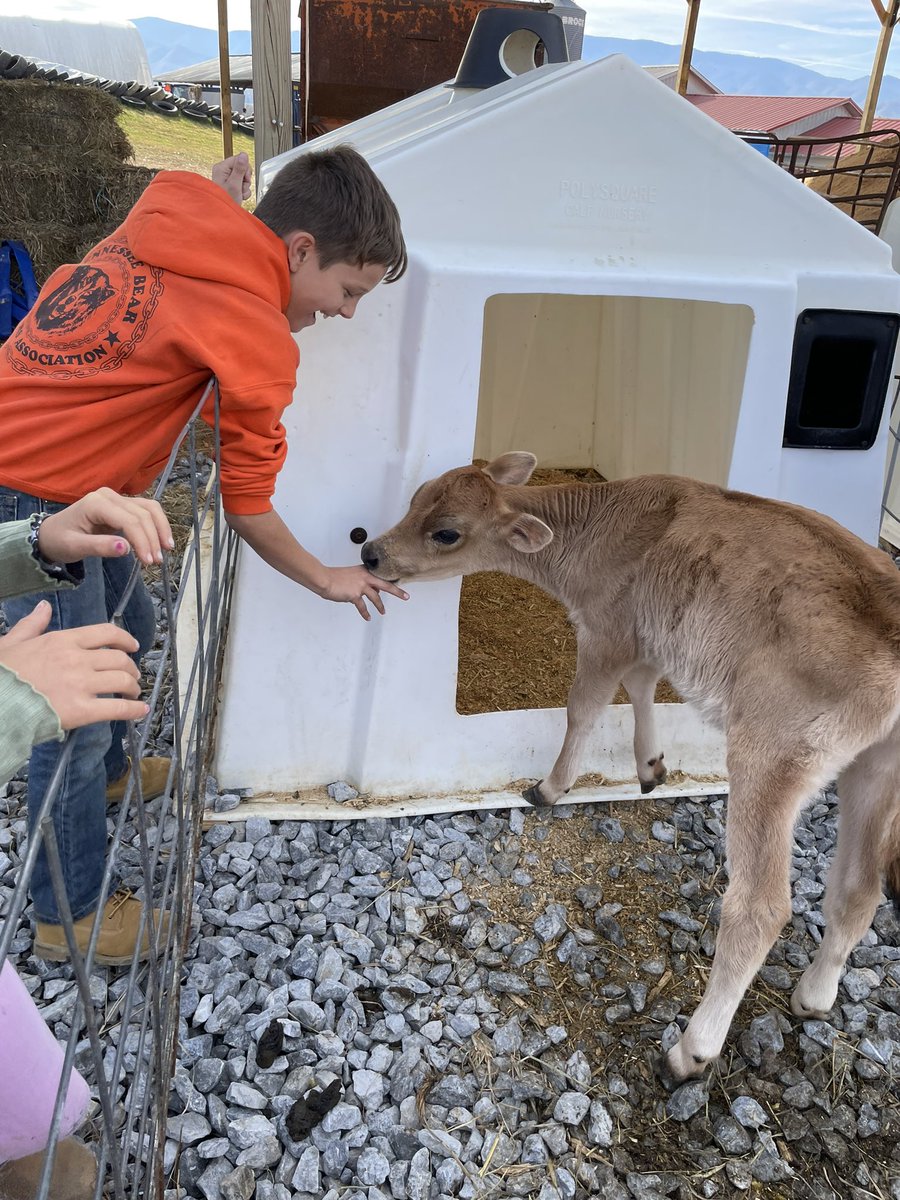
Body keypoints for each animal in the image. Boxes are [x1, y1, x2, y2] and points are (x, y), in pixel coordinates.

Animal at [361, 452, 900, 1080]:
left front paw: (550, 787)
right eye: (418, 495)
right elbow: (642, 686)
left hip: (772, 751)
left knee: (760, 908)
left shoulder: (607, 629)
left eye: (446, 532)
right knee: (859, 890)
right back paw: (814, 996)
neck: (593, 531)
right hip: (876, 766)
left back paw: (691, 1051)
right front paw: (650, 765)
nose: (371, 553)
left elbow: (584, 707)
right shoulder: (647, 639)